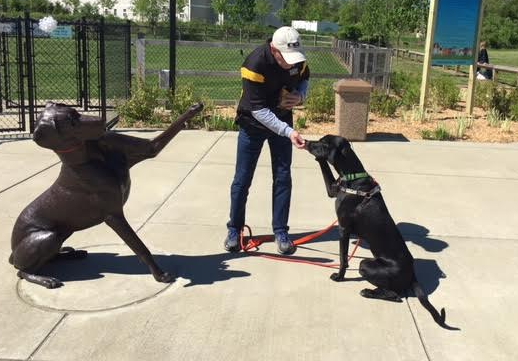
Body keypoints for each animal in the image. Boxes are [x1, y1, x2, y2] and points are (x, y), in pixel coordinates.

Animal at [8, 101, 203, 286]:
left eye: (76, 112)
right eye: (71, 123)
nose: (102, 122)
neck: (91, 157)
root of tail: (11, 253)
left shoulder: (147, 147)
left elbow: (164, 135)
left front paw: (194, 109)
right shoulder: (114, 216)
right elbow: (140, 247)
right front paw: (160, 275)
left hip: (64, 231)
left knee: (49, 257)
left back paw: (71, 253)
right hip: (47, 236)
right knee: (22, 271)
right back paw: (46, 279)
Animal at [308, 135, 460, 330]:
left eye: (325, 143)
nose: (307, 142)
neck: (352, 177)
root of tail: (412, 274)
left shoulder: (343, 228)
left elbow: (342, 258)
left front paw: (339, 277)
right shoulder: (333, 190)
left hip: (366, 264)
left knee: (395, 295)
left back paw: (368, 291)